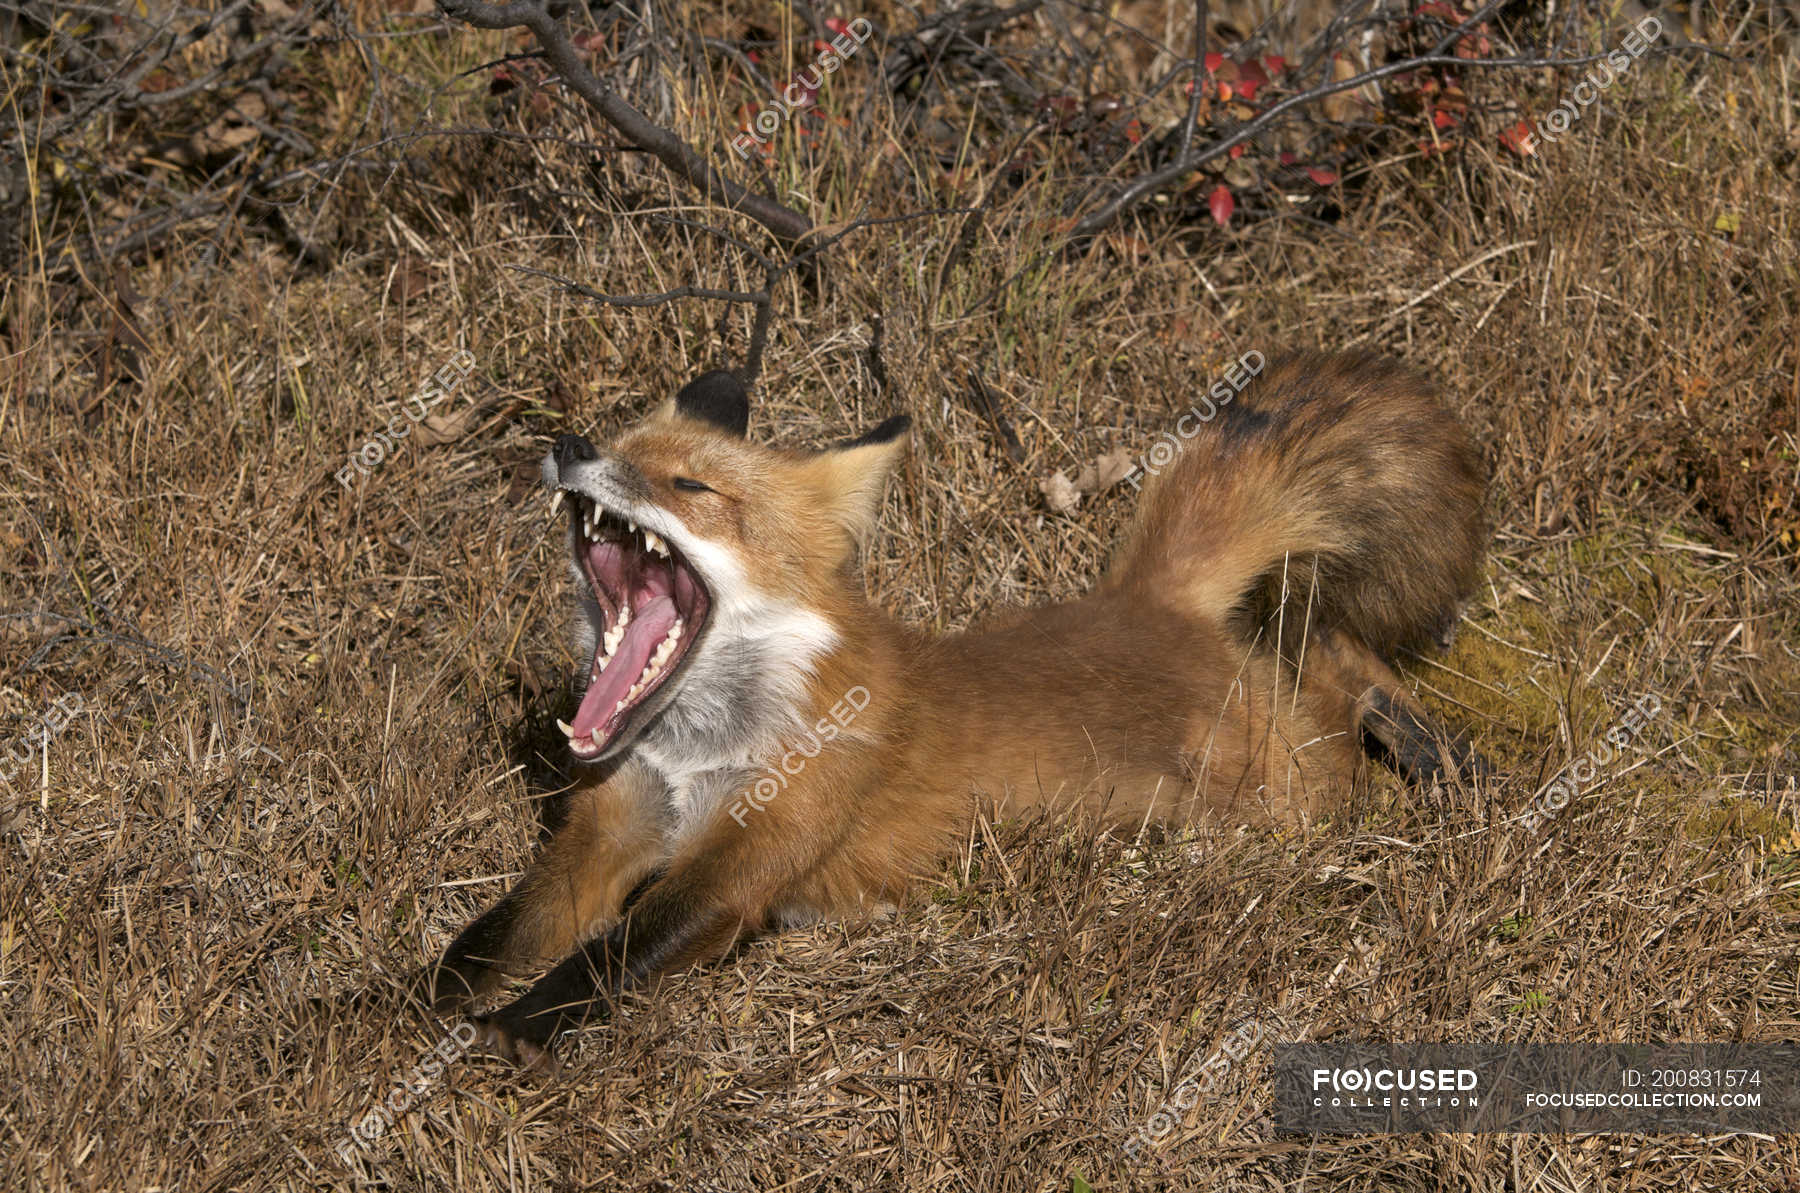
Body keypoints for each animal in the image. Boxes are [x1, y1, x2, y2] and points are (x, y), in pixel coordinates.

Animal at [424, 352, 1490, 1065]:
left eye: (691, 484)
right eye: (617, 446)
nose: (569, 447)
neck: (700, 752)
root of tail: (1150, 600)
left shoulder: (745, 863)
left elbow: (608, 958)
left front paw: (512, 1029)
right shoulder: (609, 824)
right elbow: (502, 931)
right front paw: (424, 997)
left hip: (1288, 794)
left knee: (1338, 666)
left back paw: (1445, 760)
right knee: (1324, 645)